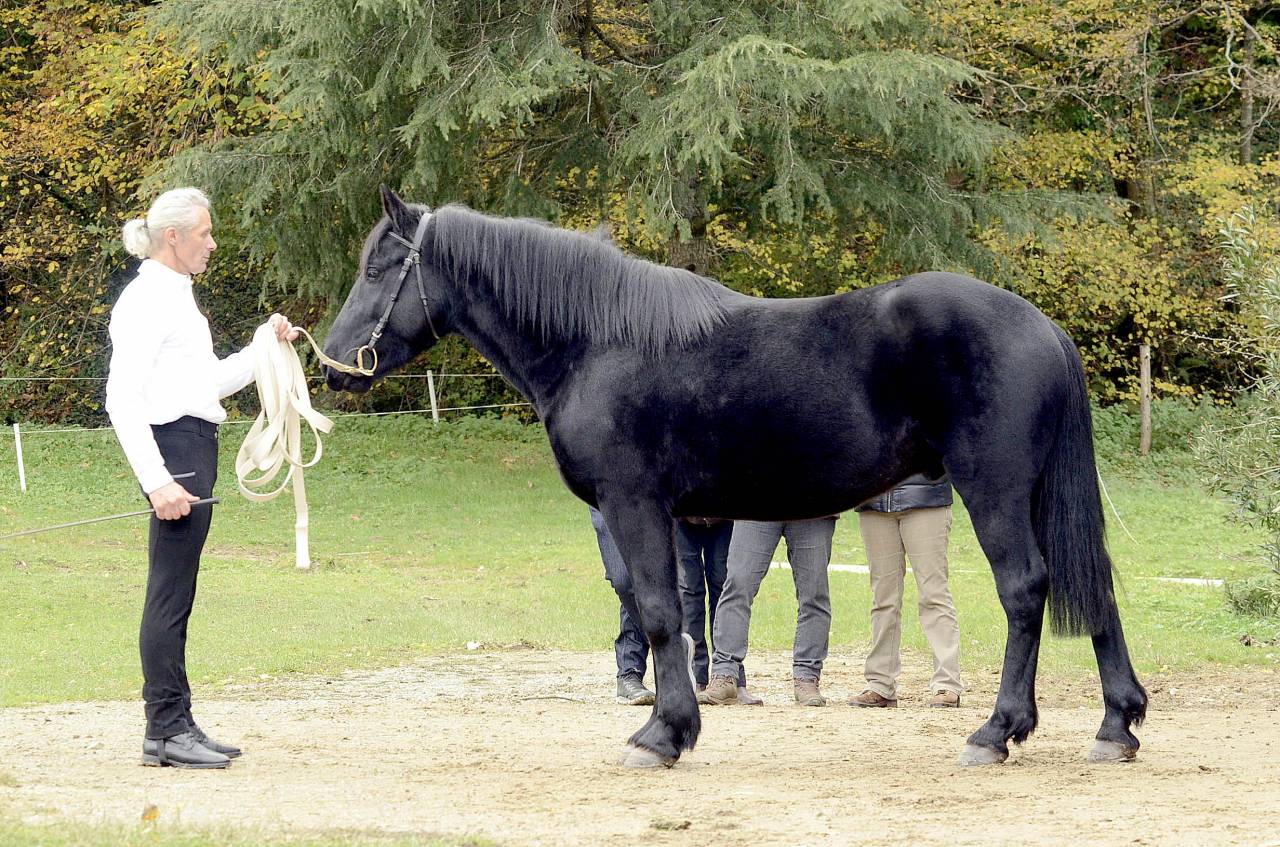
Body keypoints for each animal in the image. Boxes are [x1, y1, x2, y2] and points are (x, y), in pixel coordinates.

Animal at [323, 185, 1148, 768]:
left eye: (380, 266)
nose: (333, 364)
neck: (597, 341)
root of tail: (1044, 327)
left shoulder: (634, 504)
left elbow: (661, 613)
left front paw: (663, 734)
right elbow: (678, 614)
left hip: (995, 490)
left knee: (1026, 590)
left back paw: (996, 730)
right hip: (1036, 495)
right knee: (1093, 585)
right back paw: (1116, 724)